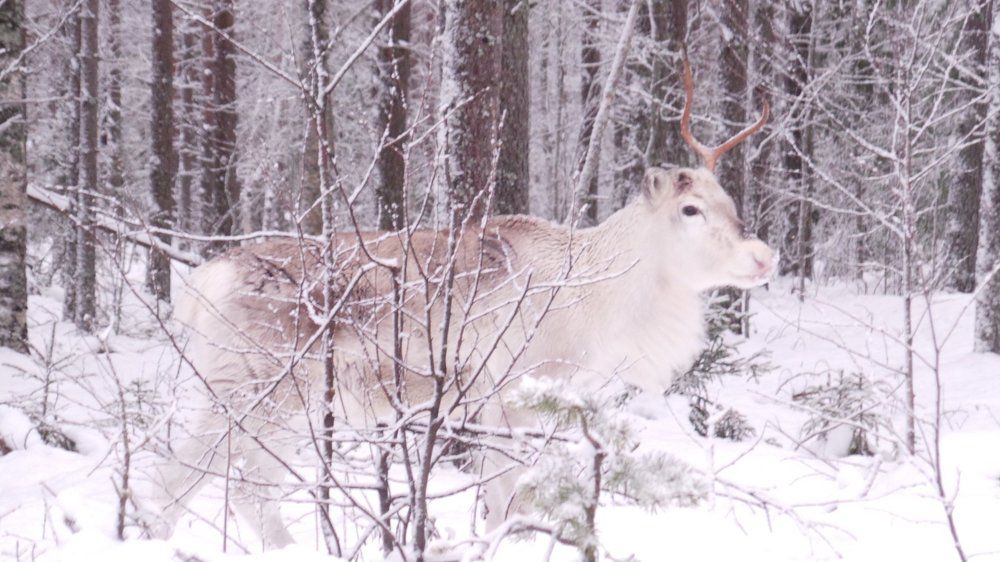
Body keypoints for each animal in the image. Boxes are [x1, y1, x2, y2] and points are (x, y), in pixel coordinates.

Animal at [148, 60, 774, 549]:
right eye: (691, 209)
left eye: (729, 200)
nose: (764, 256)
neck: (603, 302)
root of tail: (199, 286)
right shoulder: (513, 397)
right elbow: (513, 504)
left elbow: (502, 504)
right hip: (255, 390)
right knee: (192, 482)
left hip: (273, 401)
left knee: (235, 488)